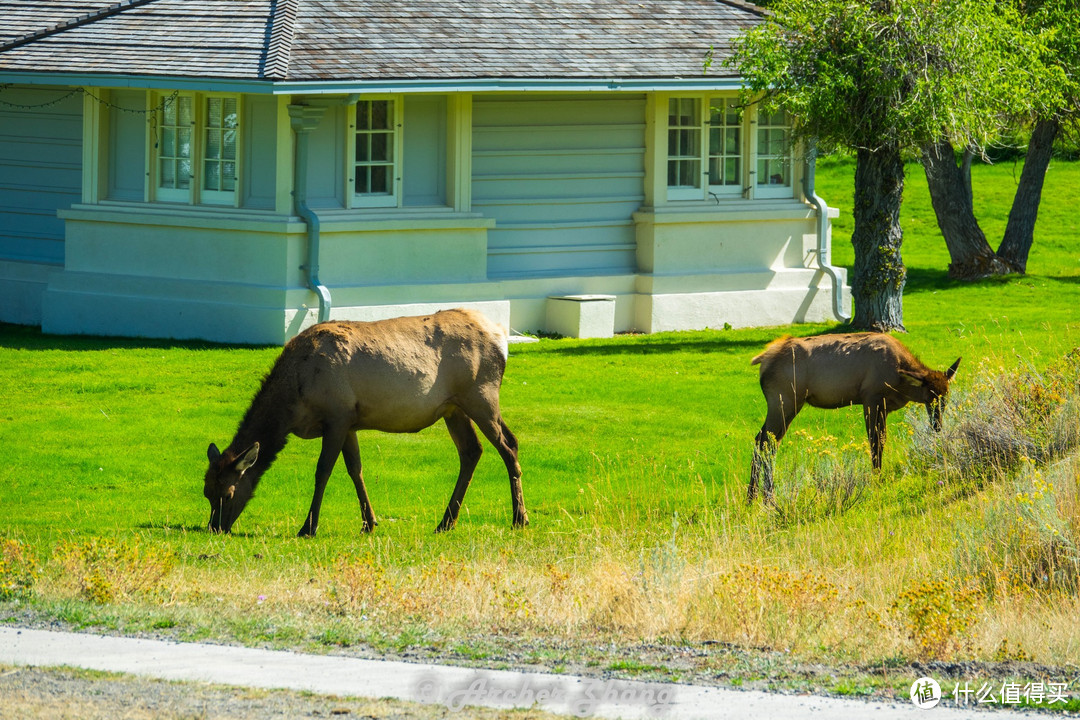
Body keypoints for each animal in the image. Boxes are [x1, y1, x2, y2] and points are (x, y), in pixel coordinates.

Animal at [201, 306, 527, 537]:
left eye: (228, 492)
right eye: (206, 491)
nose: (215, 527)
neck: (294, 397)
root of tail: (501, 337)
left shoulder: (337, 414)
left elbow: (323, 471)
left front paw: (308, 527)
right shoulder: (349, 421)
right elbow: (355, 470)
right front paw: (369, 522)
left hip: (481, 395)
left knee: (509, 444)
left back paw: (519, 518)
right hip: (454, 408)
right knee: (471, 451)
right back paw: (446, 522)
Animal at [747, 332, 959, 500]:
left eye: (946, 398)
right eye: (929, 399)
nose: (937, 426)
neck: (900, 384)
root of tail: (763, 360)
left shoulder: (884, 406)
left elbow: (882, 439)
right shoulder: (871, 397)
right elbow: (875, 441)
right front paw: (877, 479)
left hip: (787, 404)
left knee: (766, 441)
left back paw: (757, 496)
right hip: (784, 401)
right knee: (764, 441)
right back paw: (762, 496)